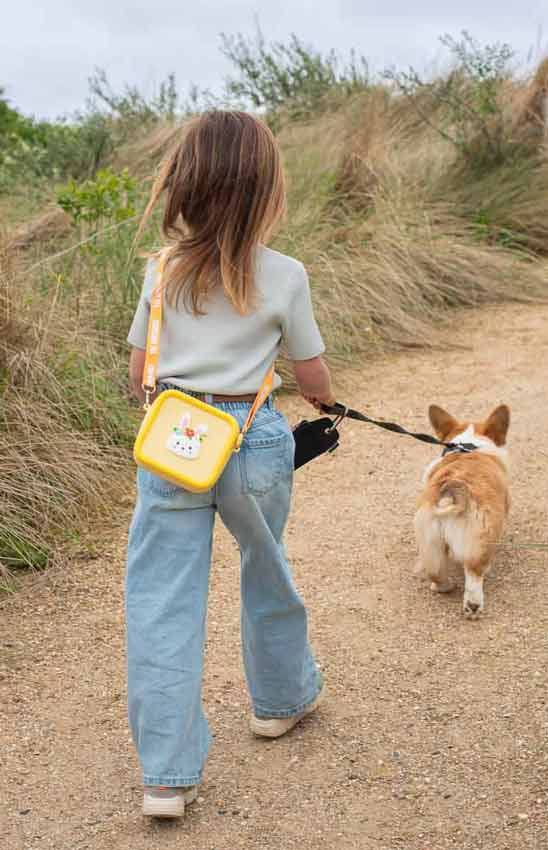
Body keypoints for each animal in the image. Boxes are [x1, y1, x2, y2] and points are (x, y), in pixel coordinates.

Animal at [416, 404, 510, 616]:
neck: (469, 446)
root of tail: (452, 494)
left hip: (431, 543)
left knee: (436, 572)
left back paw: (444, 587)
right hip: (479, 544)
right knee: (474, 577)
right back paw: (473, 606)